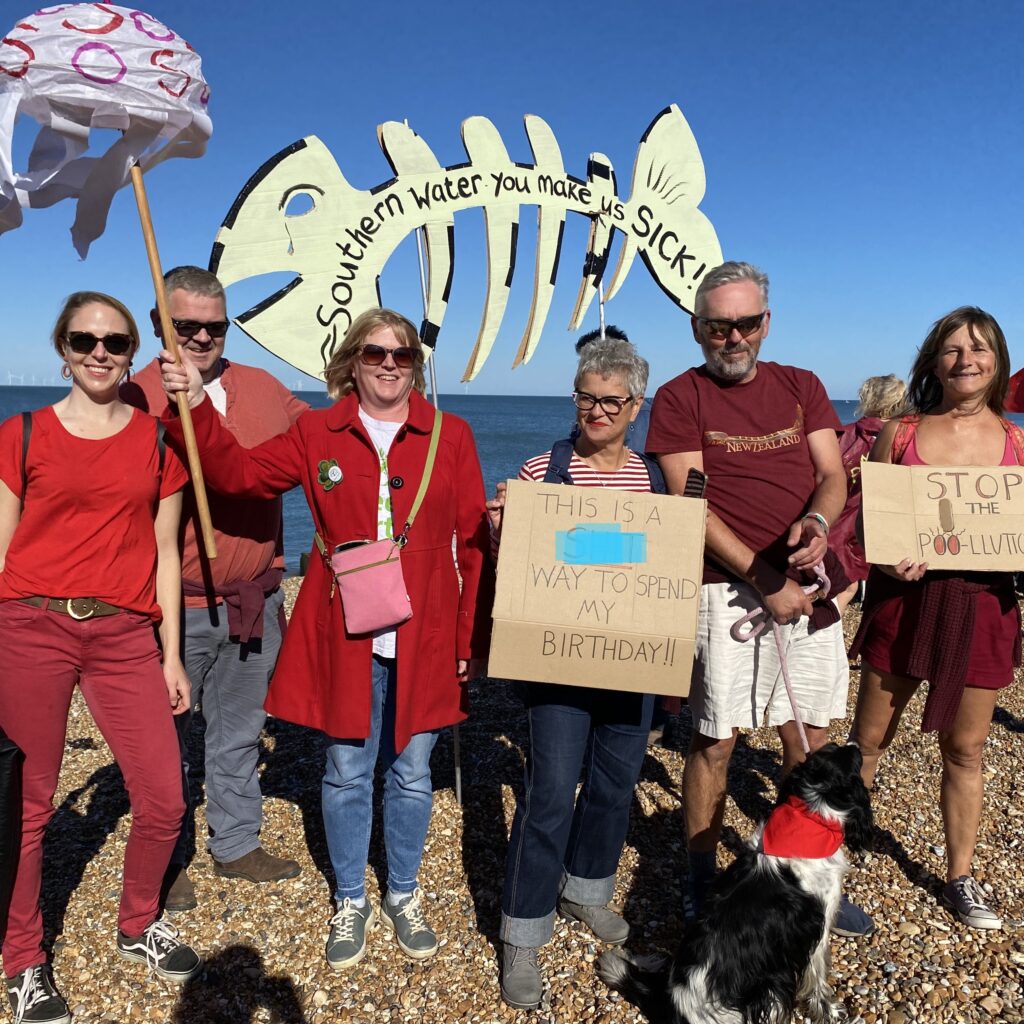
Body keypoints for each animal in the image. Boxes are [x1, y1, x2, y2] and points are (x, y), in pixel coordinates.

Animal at [598, 745, 872, 1024]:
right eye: (852, 759)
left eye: (832, 748)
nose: (855, 746)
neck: (810, 818)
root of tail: (671, 1002)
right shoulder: (817, 930)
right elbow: (817, 978)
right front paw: (831, 1011)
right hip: (767, 992)